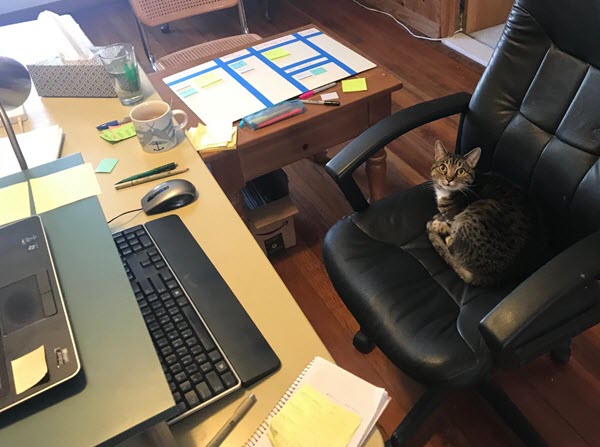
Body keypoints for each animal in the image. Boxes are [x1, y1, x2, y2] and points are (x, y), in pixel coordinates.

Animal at [426, 141, 536, 288]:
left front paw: (438, 223)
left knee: (453, 247)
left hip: (482, 207)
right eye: (443, 167)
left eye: (460, 171)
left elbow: (450, 224)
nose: (449, 179)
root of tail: (495, 277)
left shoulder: (456, 215)